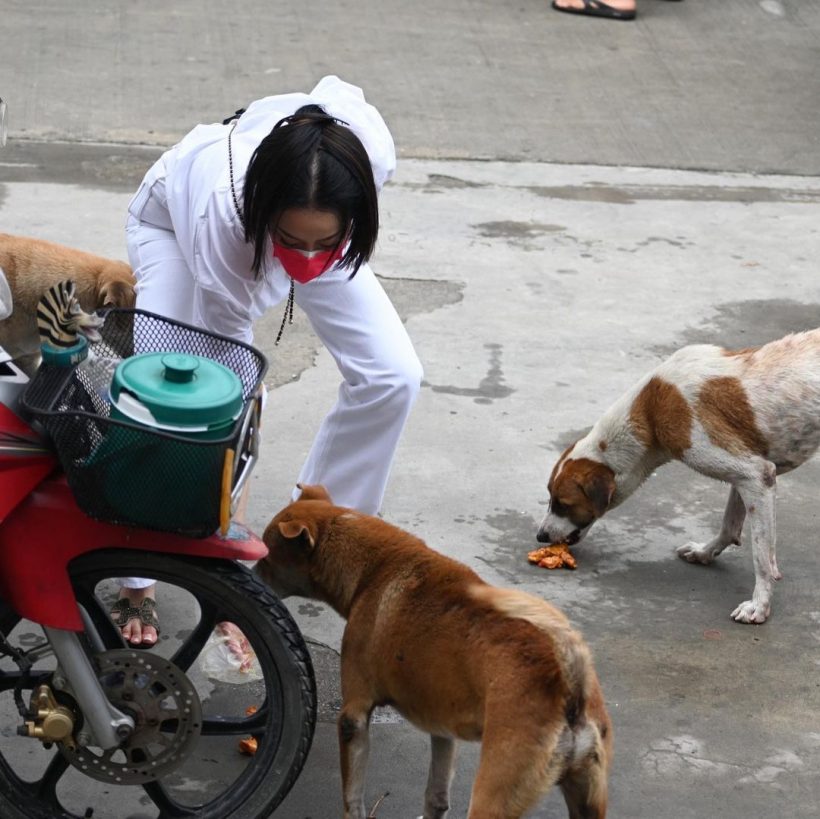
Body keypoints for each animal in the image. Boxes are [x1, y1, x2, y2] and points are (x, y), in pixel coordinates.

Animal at [260, 486, 612, 819]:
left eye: (267, 553)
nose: (252, 570)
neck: (375, 568)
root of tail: (570, 685)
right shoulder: (442, 730)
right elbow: (436, 795)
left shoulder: (354, 717)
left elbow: (353, 798)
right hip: (588, 796)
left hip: (496, 791)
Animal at [536, 330, 820, 624]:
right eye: (550, 499)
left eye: (562, 504)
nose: (540, 536)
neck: (651, 412)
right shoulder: (744, 480)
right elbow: (729, 526)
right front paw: (706, 552)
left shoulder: (756, 476)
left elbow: (761, 556)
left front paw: (759, 605)